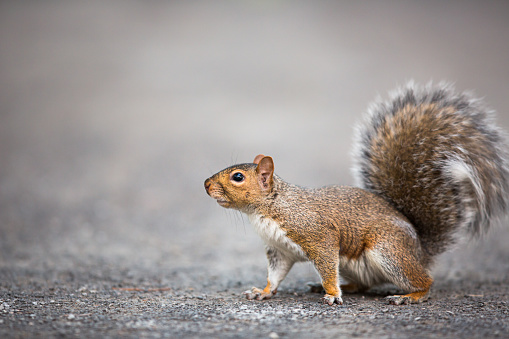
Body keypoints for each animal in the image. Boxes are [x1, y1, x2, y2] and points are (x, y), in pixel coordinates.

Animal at [202, 83, 508, 306]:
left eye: (238, 177)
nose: (205, 184)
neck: (269, 207)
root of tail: (421, 249)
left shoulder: (318, 236)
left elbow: (326, 266)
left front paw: (332, 294)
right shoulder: (280, 250)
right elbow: (276, 274)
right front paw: (263, 291)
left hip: (389, 250)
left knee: (425, 281)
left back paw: (407, 296)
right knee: (364, 283)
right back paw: (342, 286)